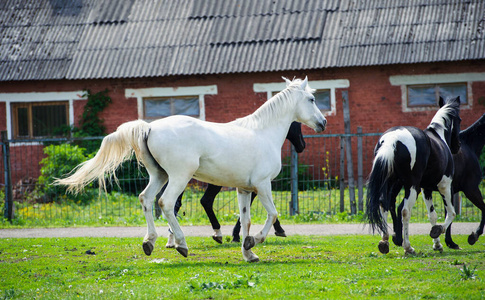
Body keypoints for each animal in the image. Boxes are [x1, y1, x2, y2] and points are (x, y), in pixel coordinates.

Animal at [161, 120, 304, 247]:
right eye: (297, 124)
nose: (302, 145)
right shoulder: (257, 186)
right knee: (205, 201)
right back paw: (215, 233)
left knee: (178, 204)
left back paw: (172, 240)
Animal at [364, 96, 460, 253]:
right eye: (459, 120)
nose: (458, 146)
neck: (438, 135)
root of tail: (392, 140)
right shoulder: (445, 186)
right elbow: (451, 213)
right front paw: (437, 232)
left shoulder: (426, 189)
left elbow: (432, 215)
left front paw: (437, 244)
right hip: (412, 186)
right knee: (404, 211)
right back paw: (408, 247)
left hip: (393, 184)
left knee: (384, 204)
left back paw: (385, 241)